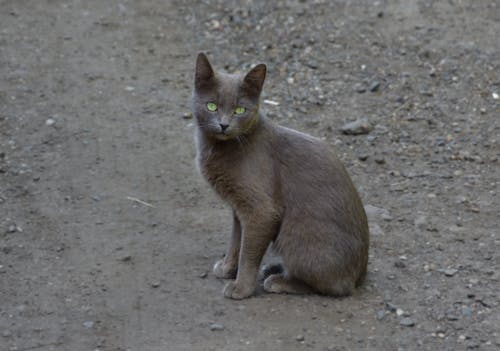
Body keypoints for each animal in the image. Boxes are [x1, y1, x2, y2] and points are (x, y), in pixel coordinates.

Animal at [193, 53, 370, 300]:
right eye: (211, 106)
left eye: (239, 110)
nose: (224, 124)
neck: (221, 148)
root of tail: (361, 275)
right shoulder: (239, 208)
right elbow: (236, 241)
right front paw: (228, 268)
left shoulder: (261, 210)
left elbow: (248, 252)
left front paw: (241, 288)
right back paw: (273, 268)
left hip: (296, 235)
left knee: (335, 286)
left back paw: (278, 280)